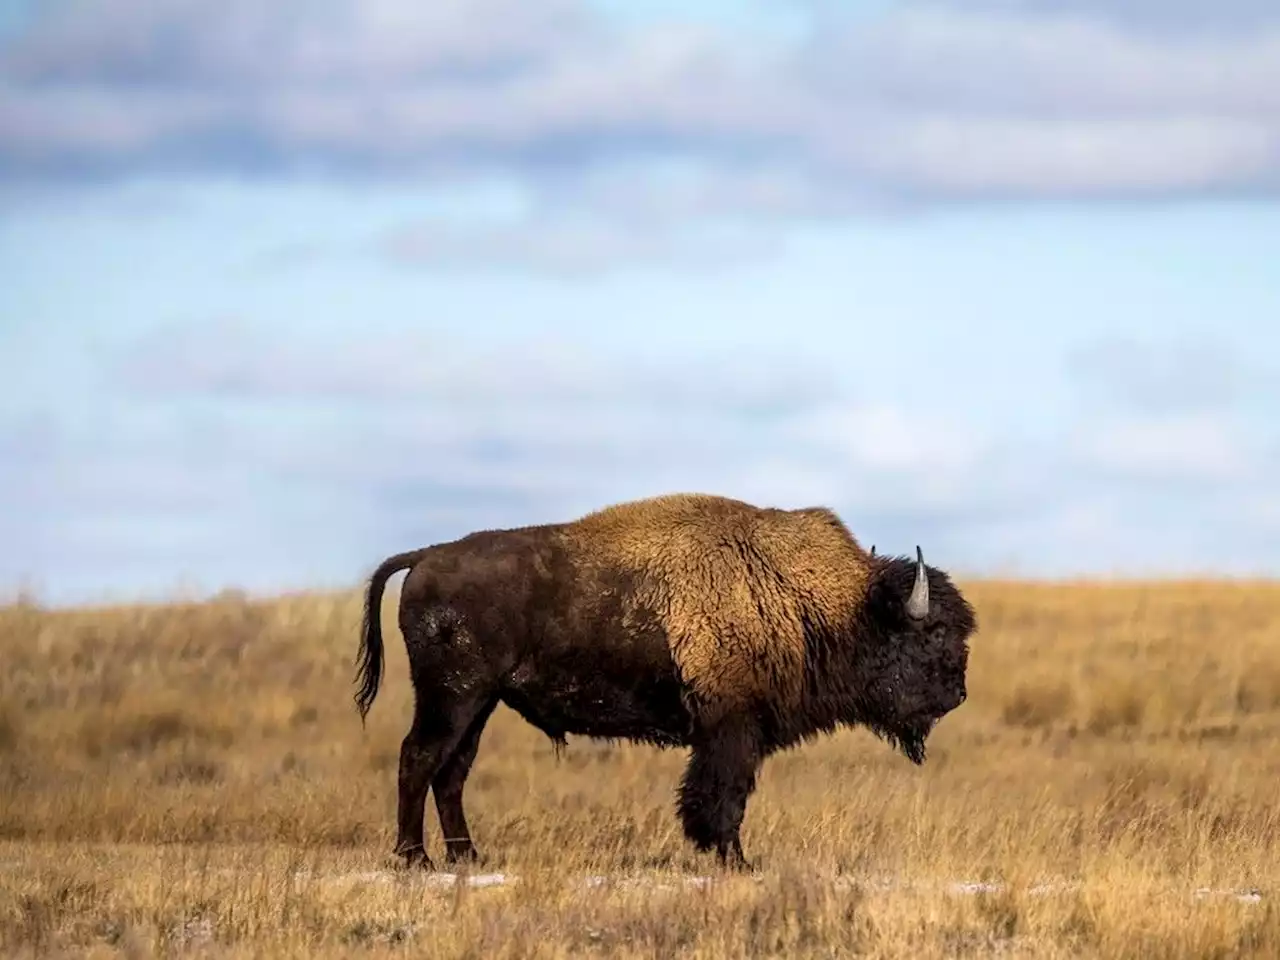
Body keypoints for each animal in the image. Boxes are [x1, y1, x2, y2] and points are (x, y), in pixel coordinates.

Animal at [355, 496, 972, 870]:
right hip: (452, 697)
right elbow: (723, 797)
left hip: (480, 703)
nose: (959, 693)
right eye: (935, 632)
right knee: (418, 758)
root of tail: (427, 556)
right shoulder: (730, 731)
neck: (816, 603)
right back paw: (415, 858)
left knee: (451, 771)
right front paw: (737, 861)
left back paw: (468, 857)